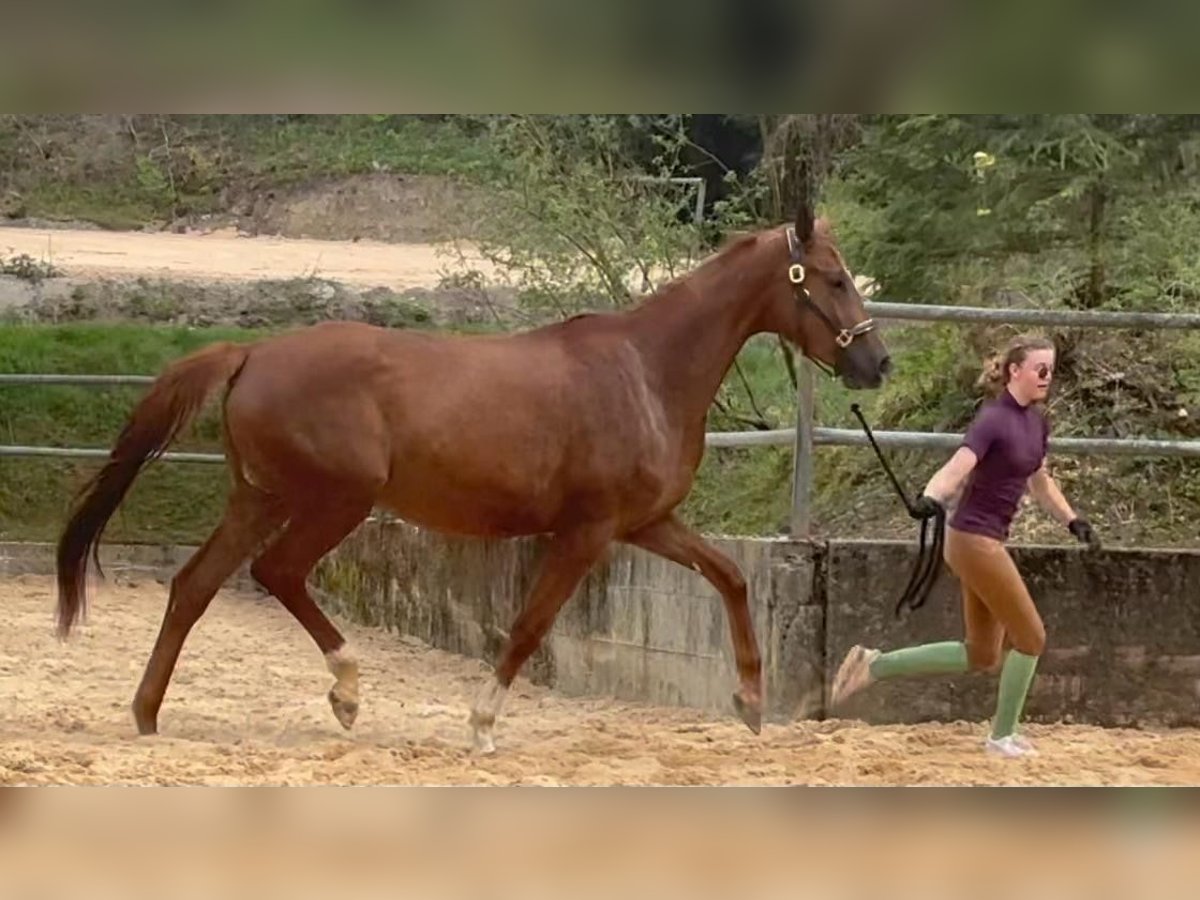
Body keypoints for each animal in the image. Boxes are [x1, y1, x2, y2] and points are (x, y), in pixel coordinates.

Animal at [56, 204, 892, 753]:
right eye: (832, 278)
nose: (876, 362)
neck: (646, 371)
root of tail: (251, 354)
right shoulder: (587, 532)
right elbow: (528, 626)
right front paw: (482, 725)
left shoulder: (645, 524)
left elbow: (731, 576)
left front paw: (750, 700)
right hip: (334, 501)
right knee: (277, 573)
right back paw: (347, 691)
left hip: (258, 498)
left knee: (194, 586)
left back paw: (147, 714)